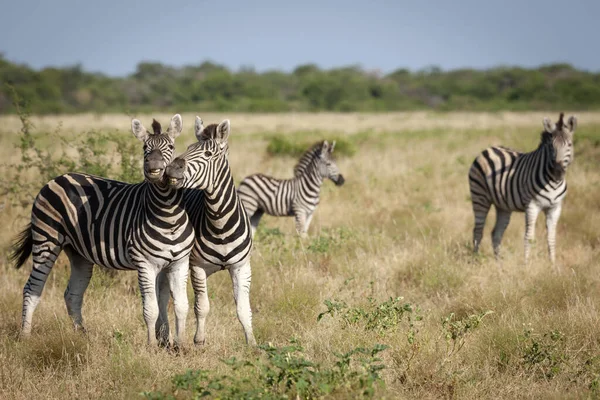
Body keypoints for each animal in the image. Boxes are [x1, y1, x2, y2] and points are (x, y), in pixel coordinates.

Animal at [8, 115, 195, 346]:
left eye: (170, 146)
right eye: (145, 148)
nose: (154, 167)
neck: (168, 215)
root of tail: (58, 178)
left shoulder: (180, 263)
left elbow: (181, 306)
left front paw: (180, 345)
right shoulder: (145, 263)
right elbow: (150, 309)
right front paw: (152, 346)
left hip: (78, 253)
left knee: (72, 294)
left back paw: (82, 336)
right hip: (46, 239)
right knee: (32, 288)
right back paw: (25, 336)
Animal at [159, 117, 255, 346]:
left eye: (208, 154)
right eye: (188, 148)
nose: (170, 169)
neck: (221, 225)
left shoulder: (241, 266)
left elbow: (243, 309)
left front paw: (253, 344)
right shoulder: (197, 267)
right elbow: (202, 306)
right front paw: (199, 341)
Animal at [468, 112, 576, 264]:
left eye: (570, 144)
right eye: (551, 147)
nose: (558, 171)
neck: (553, 182)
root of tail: (489, 148)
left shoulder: (555, 208)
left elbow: (551, 238)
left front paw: (553, 265)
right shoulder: (532, 206)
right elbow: (529, 237)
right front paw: (527, 265)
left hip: (503, 206)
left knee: (496, 233)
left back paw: (499, 265)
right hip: (479, 197)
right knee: (478, 231)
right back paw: (477, 260)